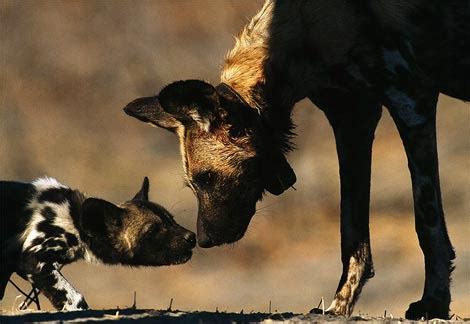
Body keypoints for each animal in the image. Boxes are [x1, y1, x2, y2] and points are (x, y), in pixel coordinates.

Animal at [0, 177, 195, 312]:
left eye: (171, 220)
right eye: (152, 230)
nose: (192, 237)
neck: (75, 221)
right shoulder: (33, 260)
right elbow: (74, 298)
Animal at [123, 0, 468, 318]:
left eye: (208, 177)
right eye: (193, 184)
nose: (204, 240)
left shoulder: (412, 102)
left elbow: (427, 224)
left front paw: (434, 303)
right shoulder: (353, 122)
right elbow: (352, 236)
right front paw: (339, 306)